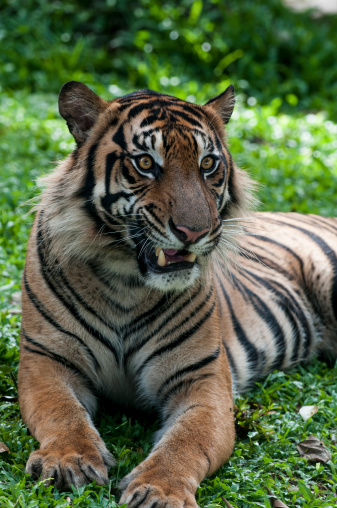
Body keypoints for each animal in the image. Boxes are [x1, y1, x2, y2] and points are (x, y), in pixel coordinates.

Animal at [17, 81, 336, 506]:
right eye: (145, 163)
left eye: (208, 164)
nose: (194, 232)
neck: (126, 283)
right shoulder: (47, 359)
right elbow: (61, 413)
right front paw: (68, 460)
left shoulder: (204, 381)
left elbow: (186, 442)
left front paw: (160, 490)